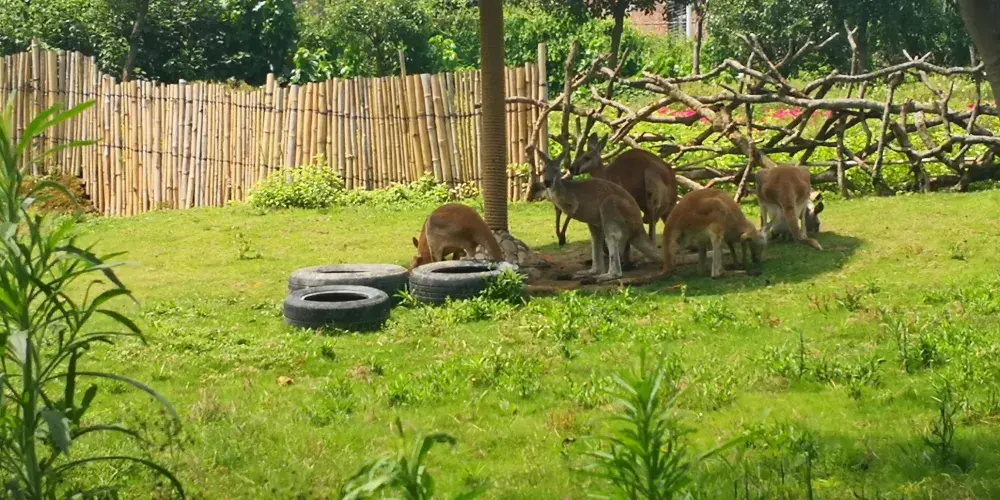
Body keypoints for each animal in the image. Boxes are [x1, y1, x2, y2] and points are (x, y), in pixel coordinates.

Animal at [534, 147, 662, 282]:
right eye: (543, 171)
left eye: (556, 170)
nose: (547, 182)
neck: (559, 188)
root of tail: (638, 227)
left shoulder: (573, 200)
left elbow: (571, 209)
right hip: (596, 222)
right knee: (596, 238)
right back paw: (588, 273)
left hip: (611, 206)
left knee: (613, 237)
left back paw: (603, 276)